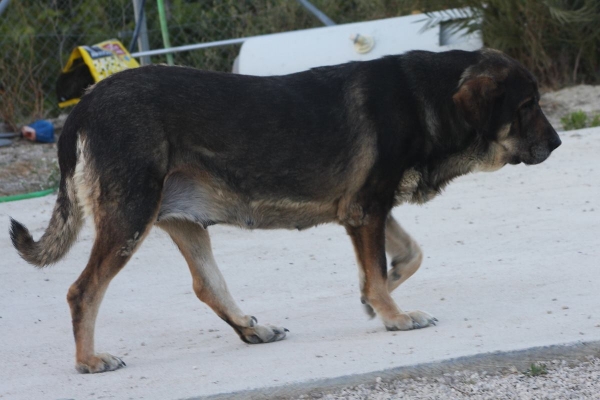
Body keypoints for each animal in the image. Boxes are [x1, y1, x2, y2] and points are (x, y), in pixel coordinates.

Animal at [10, 48, 564, 374]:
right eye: (527, 106)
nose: (558, 144)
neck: (428, 95)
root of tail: (83, 105)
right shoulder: (366, 210)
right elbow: (384, 269)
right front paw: (393, 315)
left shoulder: (366, 209)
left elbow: (407, 256)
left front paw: (376, 297)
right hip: (130, 219)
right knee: (83, 291)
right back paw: (88, 360)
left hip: (181, 221)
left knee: (207, 285)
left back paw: (251, 329)